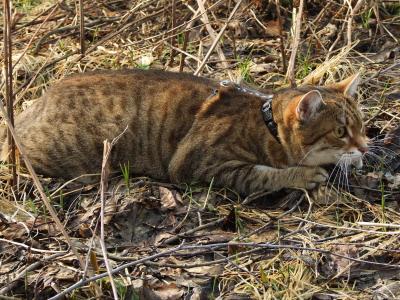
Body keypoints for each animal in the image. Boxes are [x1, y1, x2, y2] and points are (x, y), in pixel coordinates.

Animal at [0, 69, 368, 195]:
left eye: (361, 126)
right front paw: (301, 174)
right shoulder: (199, 162)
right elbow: (262, 174)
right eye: (340, 131)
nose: (366, 147)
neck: (266, 125)